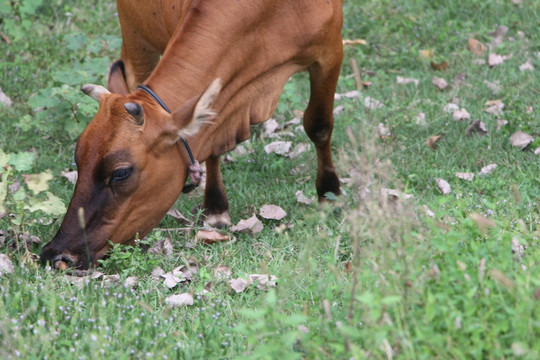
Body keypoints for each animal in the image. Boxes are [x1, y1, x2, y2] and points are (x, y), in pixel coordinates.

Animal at [40, 0, 344, 268]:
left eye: (121, 173)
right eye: (78, 159)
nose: (57, 255)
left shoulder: (330, 51)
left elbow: (319, 125)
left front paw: (329, 193)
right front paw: (216, 208)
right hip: (135, 38)